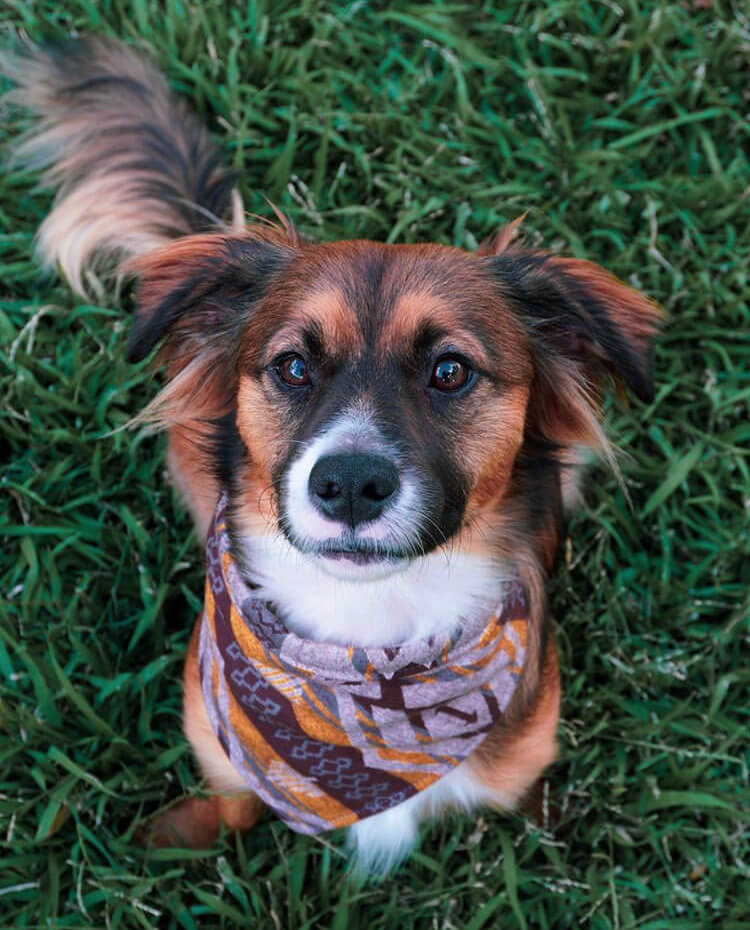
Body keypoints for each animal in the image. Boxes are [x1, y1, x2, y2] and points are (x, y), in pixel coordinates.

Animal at [4, 38, 664, 876]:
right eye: (292, 366)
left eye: (451, 370)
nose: (349, 484)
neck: (366, 636)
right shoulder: (221, 737)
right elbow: (233, 802)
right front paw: (170, 839)